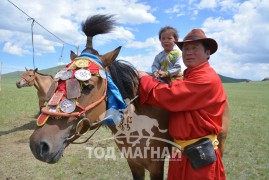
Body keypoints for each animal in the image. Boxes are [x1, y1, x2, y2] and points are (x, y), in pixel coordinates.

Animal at [28, 14, 228, 179]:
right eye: (56, 83)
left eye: (88, 86)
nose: (39, 145)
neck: (135, 124)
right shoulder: (134, 163)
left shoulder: (155, 165)